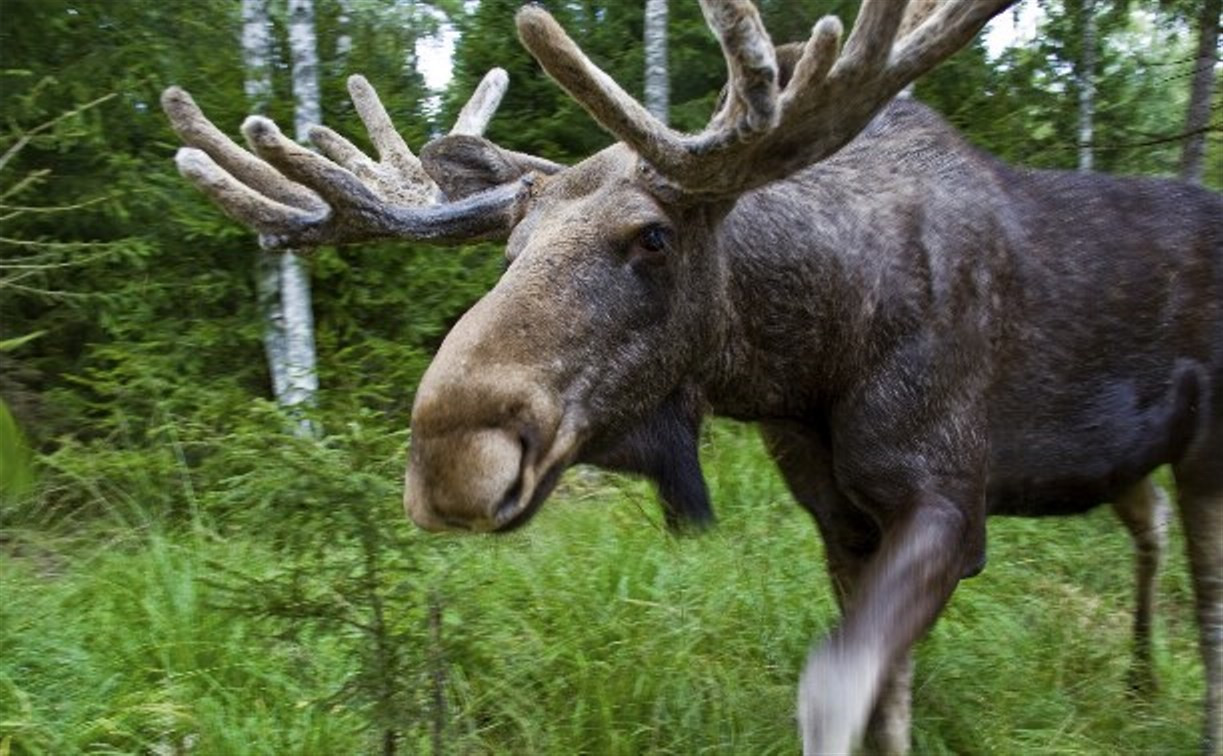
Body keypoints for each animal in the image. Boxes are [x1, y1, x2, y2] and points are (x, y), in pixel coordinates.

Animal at [162, 0, 1223, 748]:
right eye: (508, 247)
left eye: (653, 236)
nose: (450, 457)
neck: (808, 356)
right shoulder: (839, 518)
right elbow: (884, 697)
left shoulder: (947, 501)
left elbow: (833, 689)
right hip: (1125, 465)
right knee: (1148, 535)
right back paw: (1138, 680)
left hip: (1205, 456)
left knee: (1206, 599)